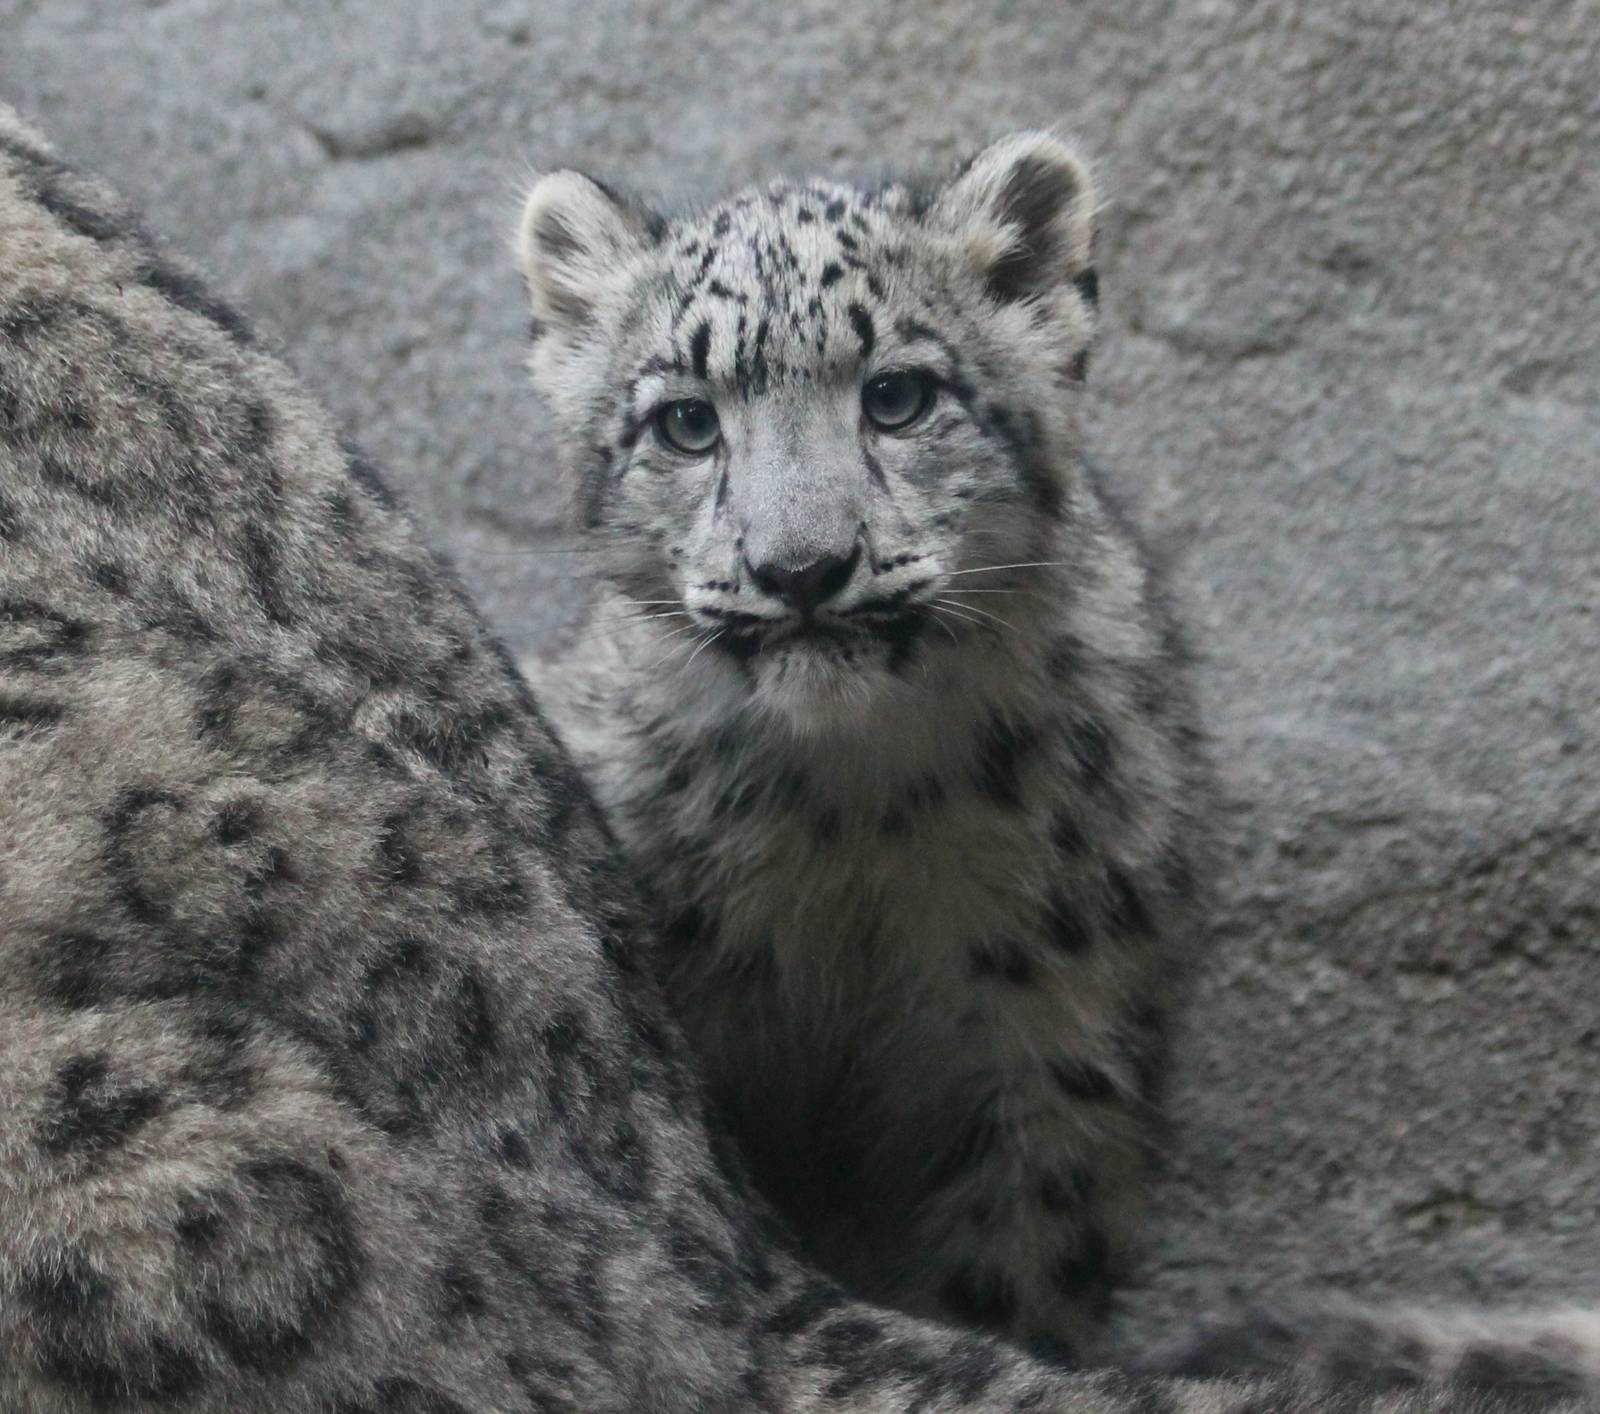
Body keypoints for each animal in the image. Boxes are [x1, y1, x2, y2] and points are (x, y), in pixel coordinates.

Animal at [514, 130, 1600, 1409]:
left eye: (898, 395)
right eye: (685, 421)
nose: (802, 568)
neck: (848, 825)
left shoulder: (1053, 1051)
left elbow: (1005, 1288)